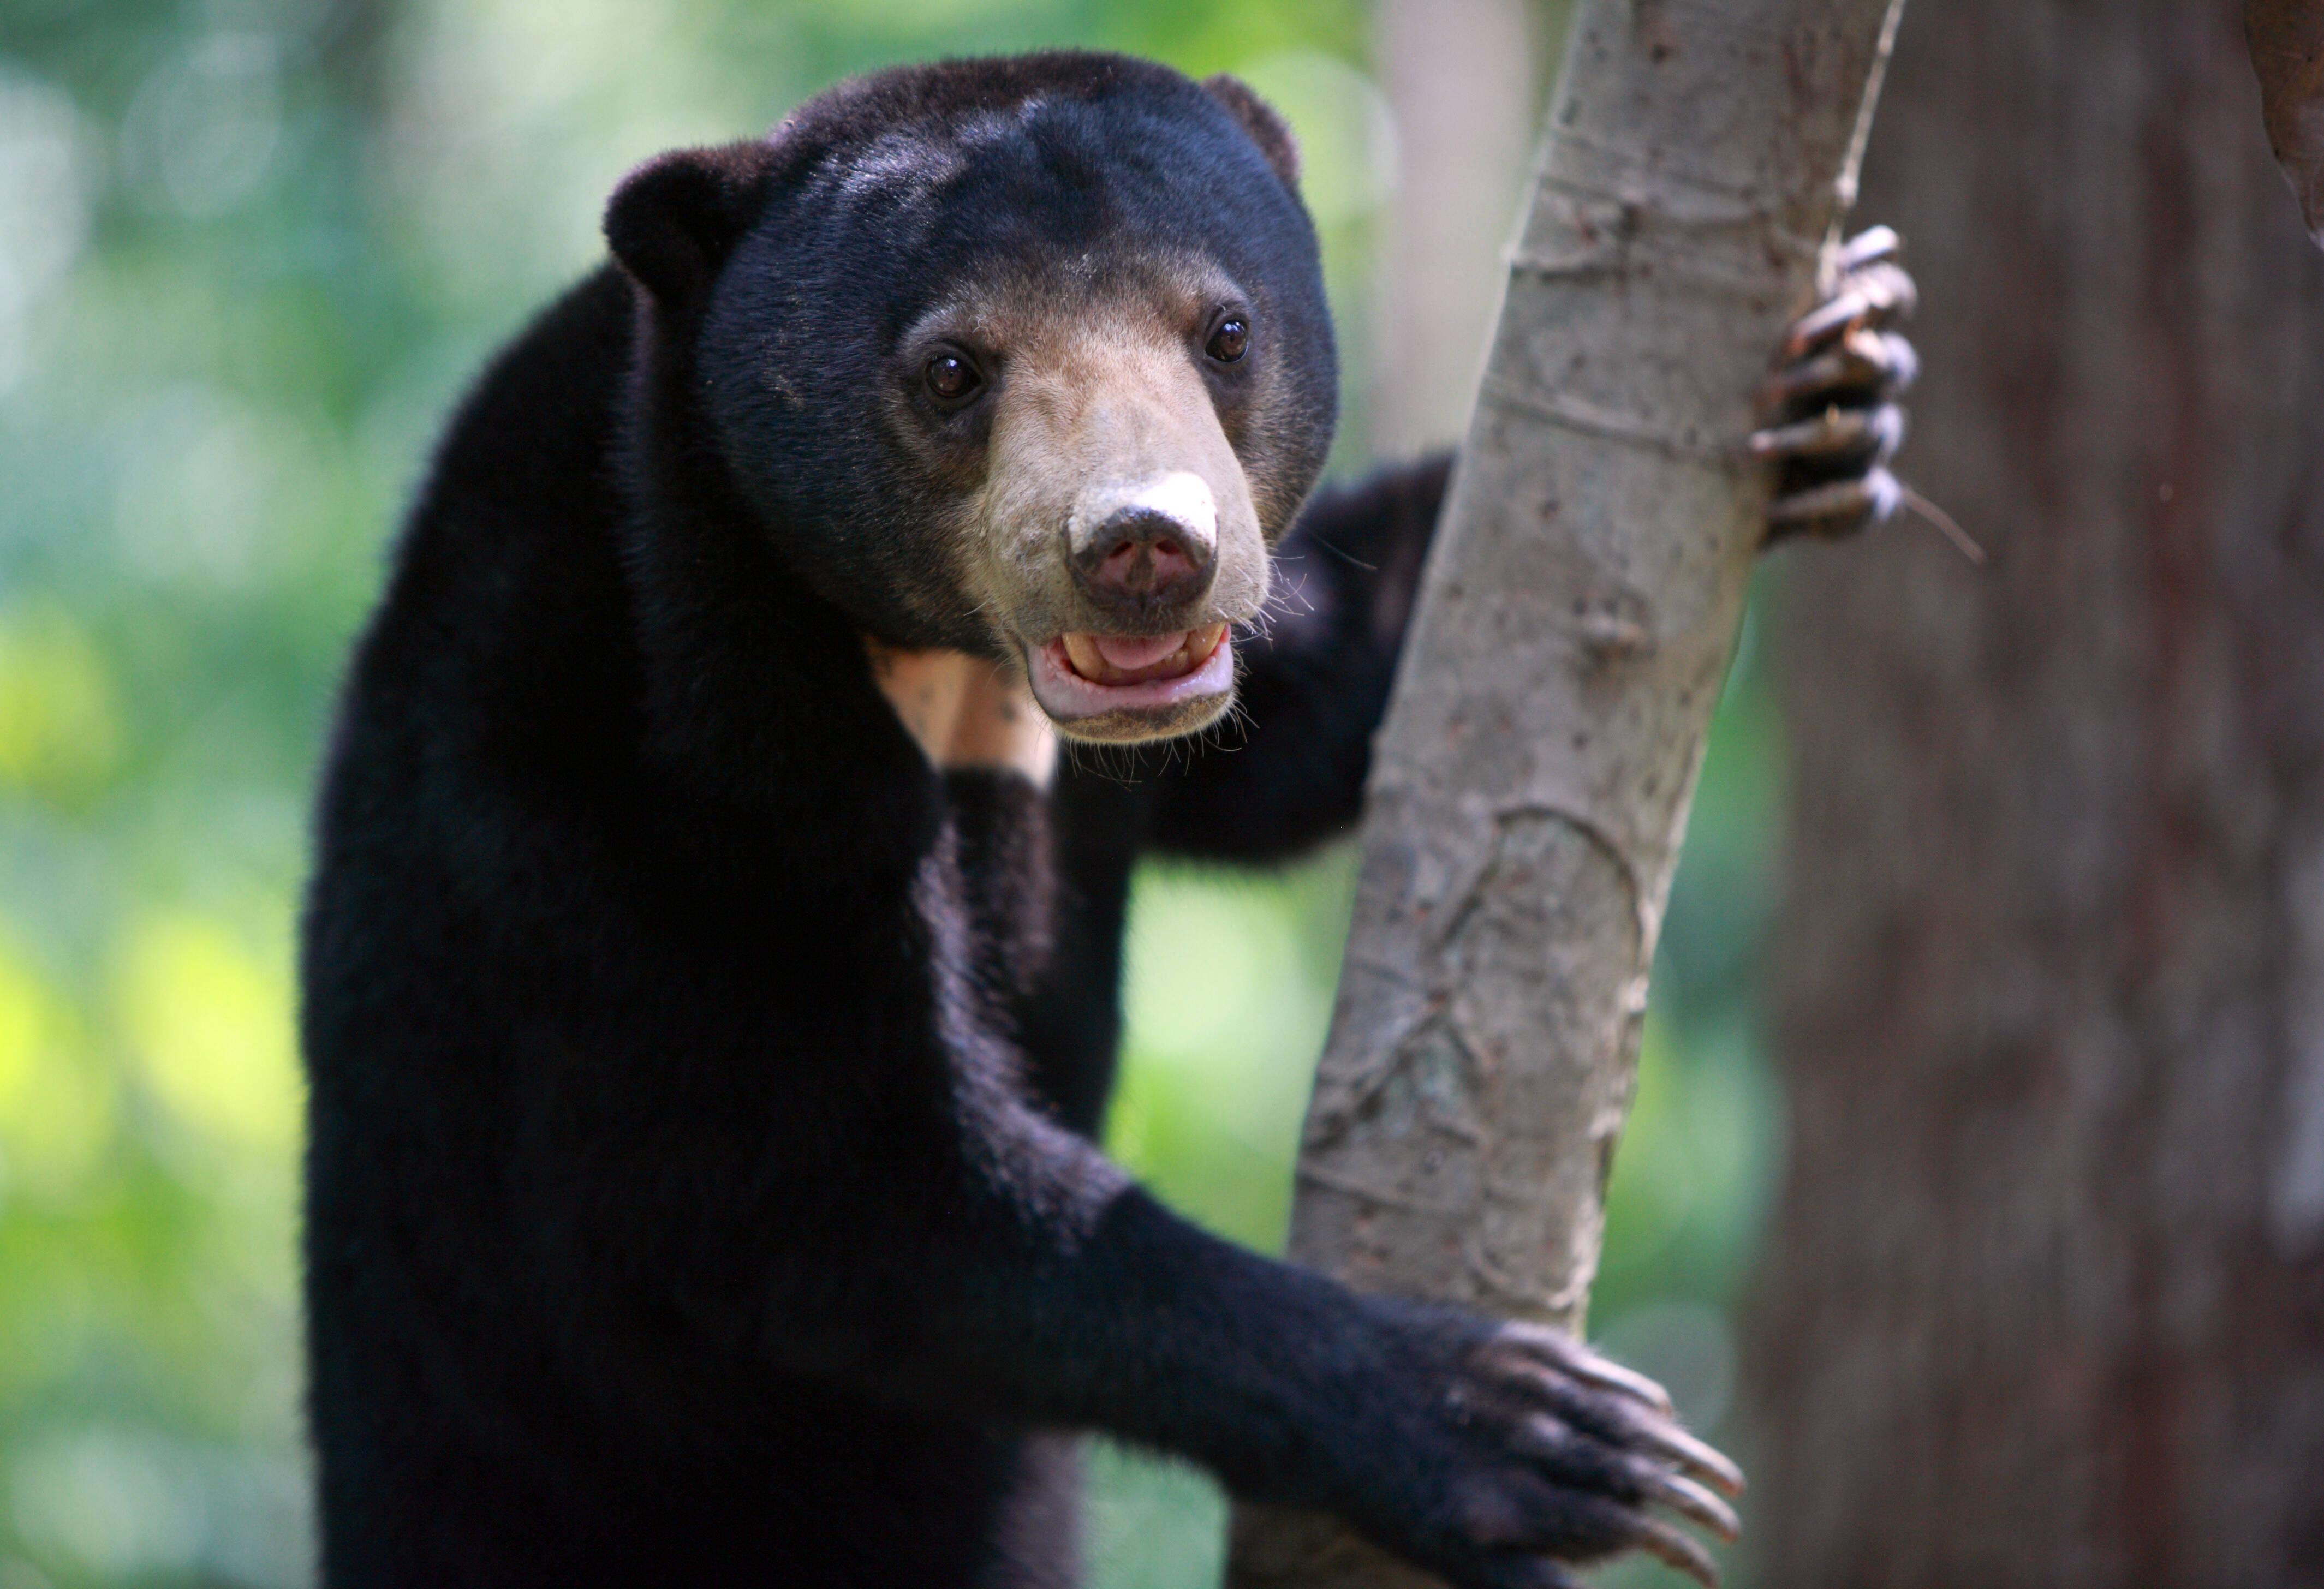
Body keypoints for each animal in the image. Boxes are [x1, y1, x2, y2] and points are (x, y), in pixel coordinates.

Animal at [299, 50, 1912, 1589]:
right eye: (952, 368)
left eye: (1226, 333)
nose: (1147, 549)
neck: (947, 673)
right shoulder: (607, 746)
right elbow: (810, 1192)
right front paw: (1533, 1435)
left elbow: (1304, 712)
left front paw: (1845, 367)